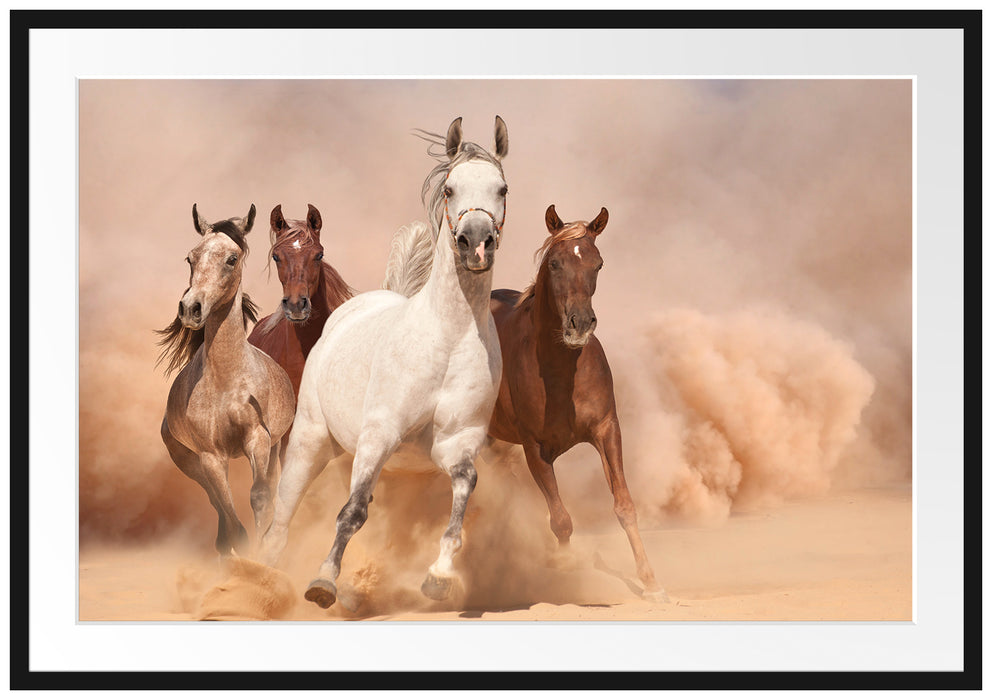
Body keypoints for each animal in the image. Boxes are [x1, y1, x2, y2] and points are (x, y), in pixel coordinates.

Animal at [157, 204, 296, 557]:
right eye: (190, 258)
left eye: (232, 259)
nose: (190, 308)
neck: (227, 383)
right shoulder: (210, 456)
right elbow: (231, 516)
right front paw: (243, 555)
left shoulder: (258, 439)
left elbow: (260, 496)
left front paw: (264, 553)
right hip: (188, 461)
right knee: (216, 503)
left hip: (274, 446)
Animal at [259, 116, 509, 610]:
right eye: (450, 188)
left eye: (502, 188)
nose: (476, 243)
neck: (448, 338)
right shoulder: (380, 433)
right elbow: (351, 512)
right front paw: (323, 583)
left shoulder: (457, 443)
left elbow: (462, 496)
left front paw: (439, 576)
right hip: (311, 440)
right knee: (282, 515)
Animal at [487, 204, 668, 602]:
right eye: (555, 263)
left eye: (598, 264)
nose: (580, 324)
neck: (560, 371)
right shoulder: (534, 448)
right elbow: (561, 519)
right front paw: (566, 566)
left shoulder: (606, 429)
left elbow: (624, 505)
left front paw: (651, 583)